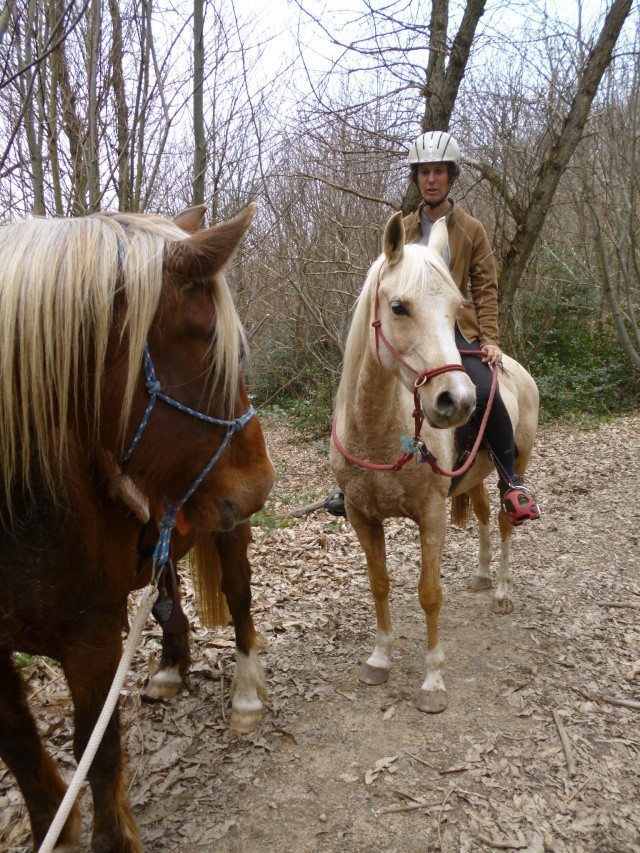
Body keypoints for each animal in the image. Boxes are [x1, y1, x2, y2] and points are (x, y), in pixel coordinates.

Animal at [0, 205, 272, 852]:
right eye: (213, 347)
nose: (260, 483)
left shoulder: (91, 638)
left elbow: (96, 753)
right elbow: (21, 749)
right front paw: (53, 830)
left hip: (228, 531)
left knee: (239, 596)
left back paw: (246, 692)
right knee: (167, 587)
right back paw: (171, 665)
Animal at [330, 211, 540, 712]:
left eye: (454, 309)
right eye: (399, 307)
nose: (457, 401)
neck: (381, 434)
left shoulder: (431, 516)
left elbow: (429, 594)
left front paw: (432, 682)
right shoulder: (362, 517)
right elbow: (380, 584)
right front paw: (379, 660)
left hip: (514, 467)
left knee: (504, 520)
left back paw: (501, 591)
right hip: (473, 477)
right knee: (482, 515)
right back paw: (482, 576)